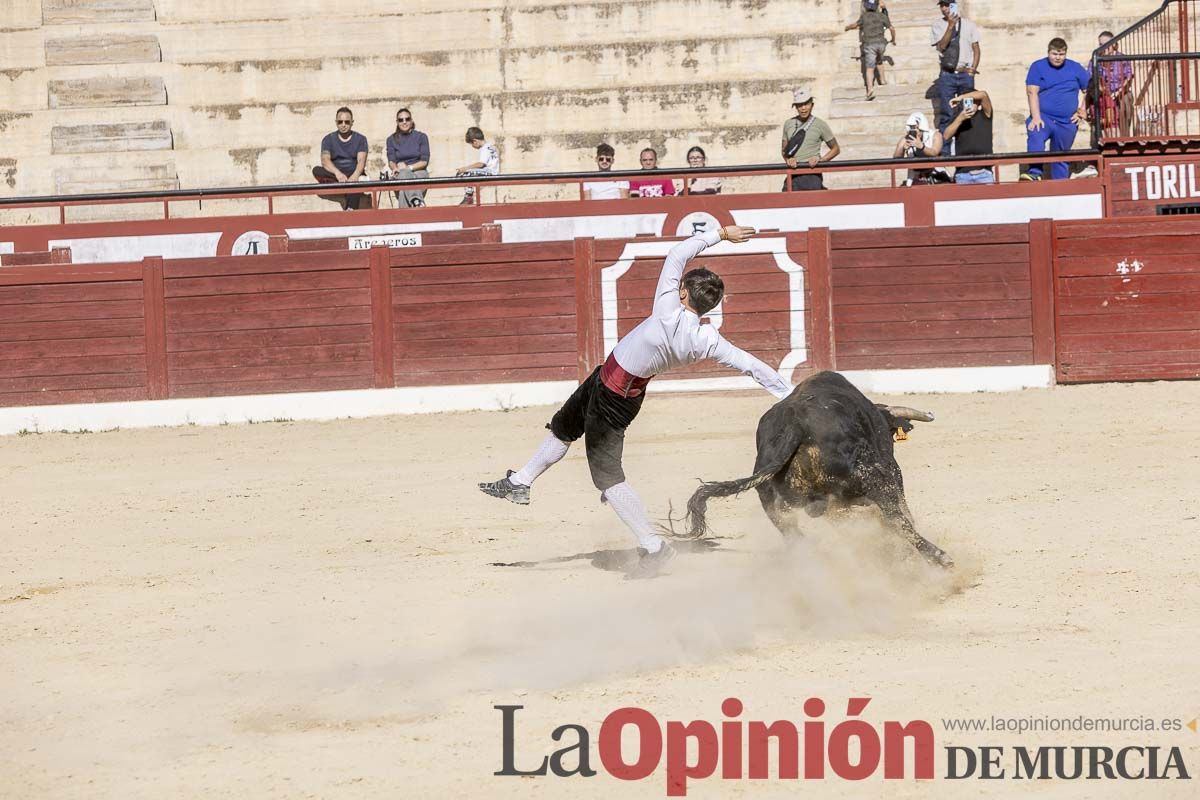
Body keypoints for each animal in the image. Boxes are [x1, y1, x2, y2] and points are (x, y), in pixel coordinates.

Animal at [691, 371, 950, 568]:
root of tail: (795, 425)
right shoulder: (891, 470)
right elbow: (901, 511)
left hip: (775, 504)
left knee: (796, 536)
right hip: (873, 476)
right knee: (896, 519)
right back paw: (938, 558)